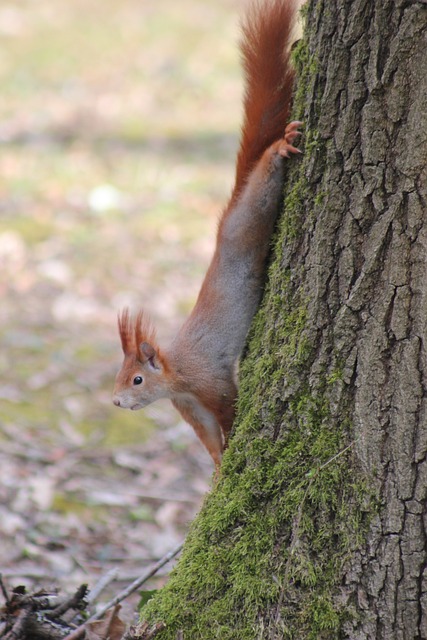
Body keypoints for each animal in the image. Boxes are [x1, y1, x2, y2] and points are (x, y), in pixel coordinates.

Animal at [113, 0, 300, 470]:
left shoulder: (208, 383)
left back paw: (279, 148)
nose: (116, 402)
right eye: (118, 375)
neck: (176, 378)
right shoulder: (190, 407)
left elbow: (228, 410)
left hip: (247, 224)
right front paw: (218, 469)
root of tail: (225, 217)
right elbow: (209, 438)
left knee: (262, 190)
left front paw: (231, 449)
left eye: (136, 379)